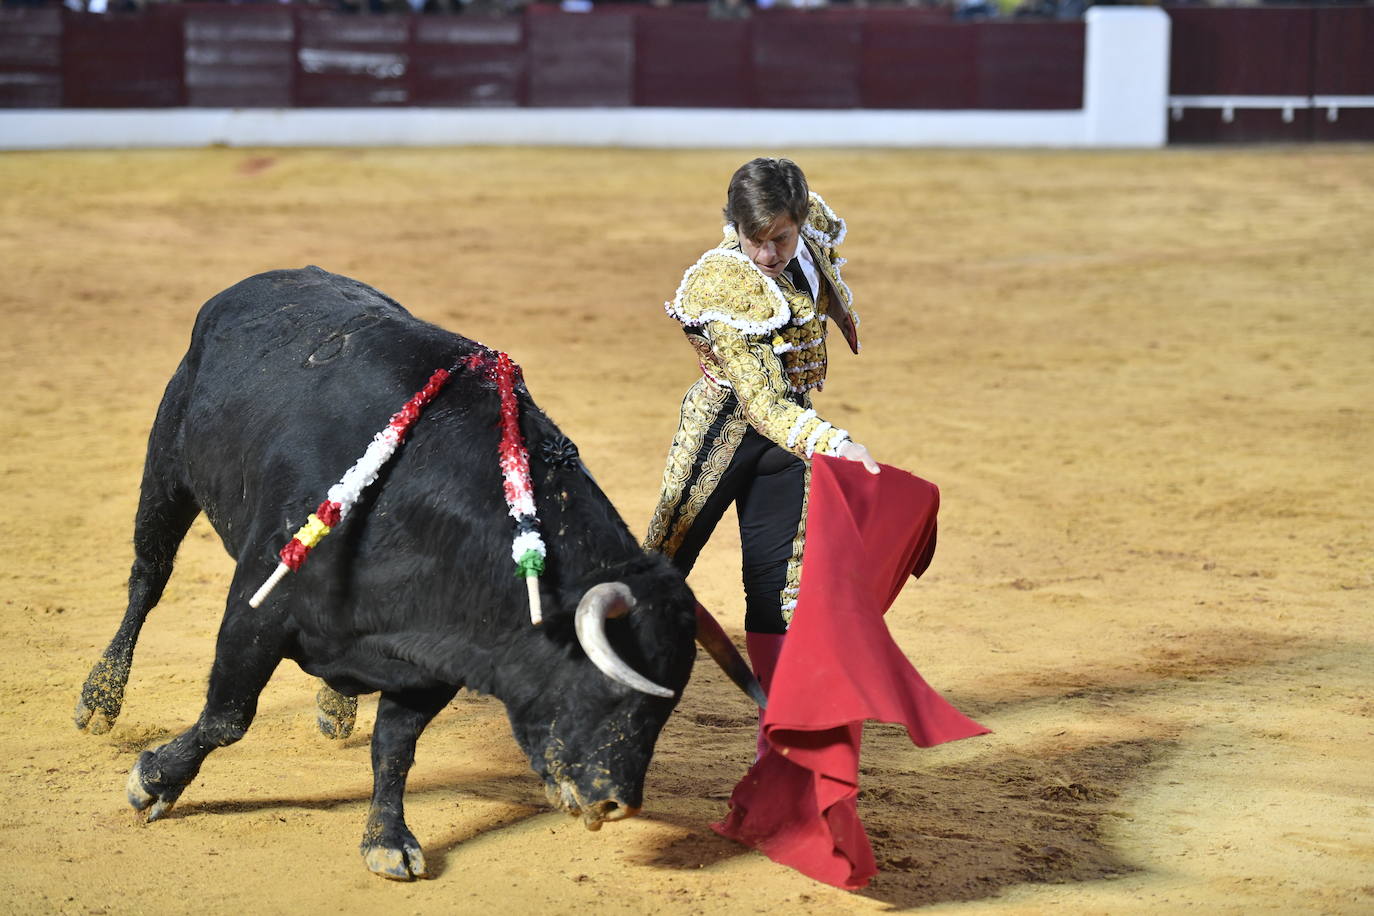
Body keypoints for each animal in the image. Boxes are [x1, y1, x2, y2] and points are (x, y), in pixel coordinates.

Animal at [77, 266, 763, 878]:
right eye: (611, 684)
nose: (618, 802)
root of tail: (259, 282)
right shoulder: (259, 605)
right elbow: (226, 716)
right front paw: (153, 782)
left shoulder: (432, 660)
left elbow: (395, 747)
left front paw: (387, 838)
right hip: (166, 471)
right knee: (147, 579)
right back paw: (99, 699)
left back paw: (335, 707)